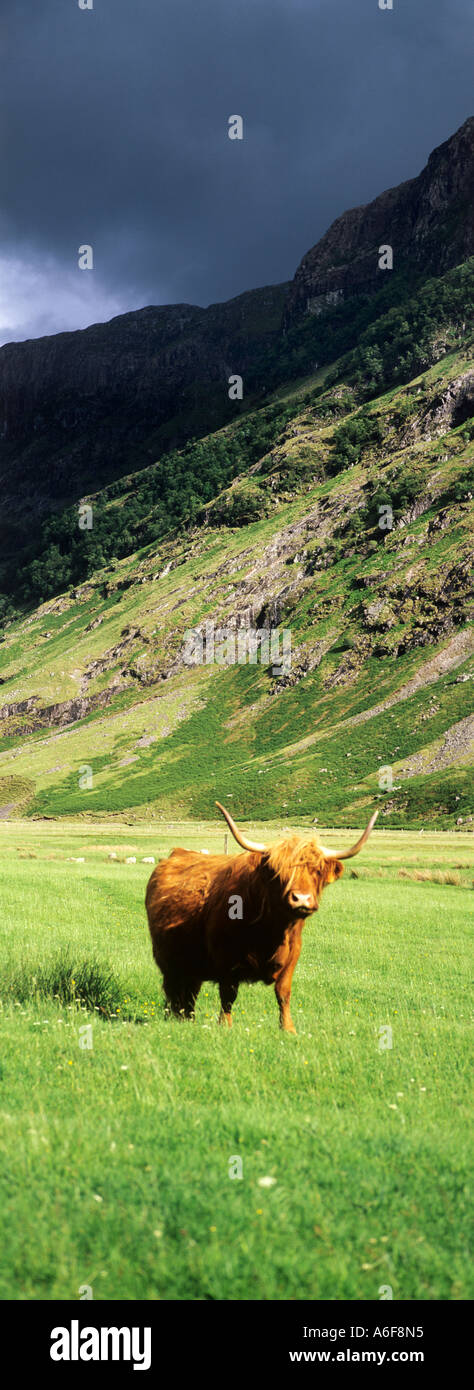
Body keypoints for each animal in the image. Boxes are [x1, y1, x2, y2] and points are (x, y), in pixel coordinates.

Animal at [145, 801, 378, 1033]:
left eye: (317, 871)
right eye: (279, 872)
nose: (301, 899)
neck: (272, 931)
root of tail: (176, 854)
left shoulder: (292, 957)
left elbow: (283, 993)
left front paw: (288, 1028)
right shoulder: (225, 959)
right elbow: (228, 995)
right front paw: (226, 1025)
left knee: (190, 992)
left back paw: (188, 1019)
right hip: (168, 959)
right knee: (174, 991)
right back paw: (176, 1018)